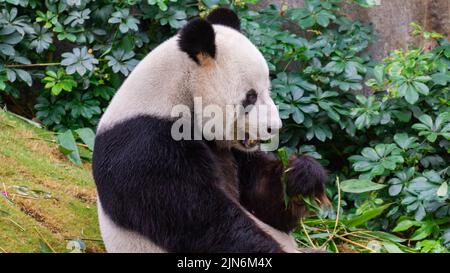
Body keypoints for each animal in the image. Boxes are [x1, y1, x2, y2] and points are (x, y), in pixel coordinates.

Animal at [94, 6, 326, 253]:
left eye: (268, 91)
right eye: (251, 96)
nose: (274, 127)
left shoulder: (231, 151)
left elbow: (265, 204)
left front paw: (302, 173)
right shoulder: (147, 149)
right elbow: (204, 222)